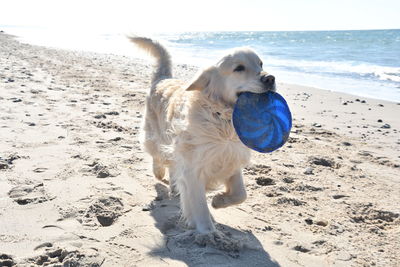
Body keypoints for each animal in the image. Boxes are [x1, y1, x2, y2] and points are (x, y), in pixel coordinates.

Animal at [130, 36, 276, 233]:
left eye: (261, 64)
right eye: (239, 68)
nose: (270, 78)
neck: (223, 118)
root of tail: (164, 78)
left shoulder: (231, 157)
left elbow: (241, 194)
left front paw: (219, 200)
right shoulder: (194, 167)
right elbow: (199, 205)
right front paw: (208, 232)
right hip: (155, 132)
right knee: (156, 152)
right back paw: (159, 171)